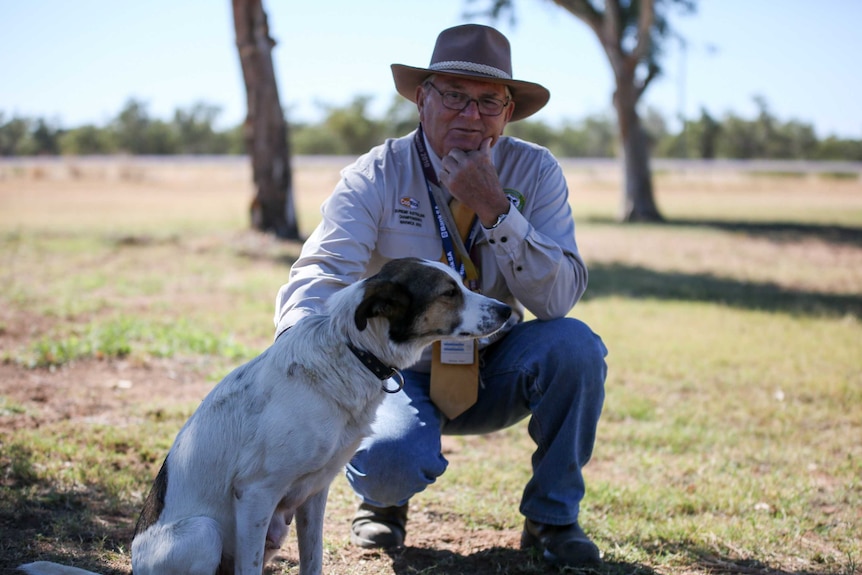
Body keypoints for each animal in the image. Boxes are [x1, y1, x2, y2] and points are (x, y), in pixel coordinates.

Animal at [22, 258, 512, 575]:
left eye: (463, 283)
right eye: (449, 293)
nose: (508, 310)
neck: (351, 353)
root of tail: (134, 568)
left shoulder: (314, 493)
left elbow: (313, 560)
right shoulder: (256, 493)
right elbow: (252, 566)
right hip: (204, 532)